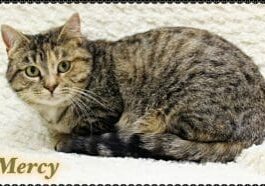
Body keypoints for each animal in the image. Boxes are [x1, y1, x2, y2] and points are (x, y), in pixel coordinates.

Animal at [2, 13, 264, 162]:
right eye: (32, 71)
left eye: (64, 66)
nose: (51, 86)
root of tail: (254, 136)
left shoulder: (104, 112)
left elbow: (81, 131)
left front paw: (62, 138)